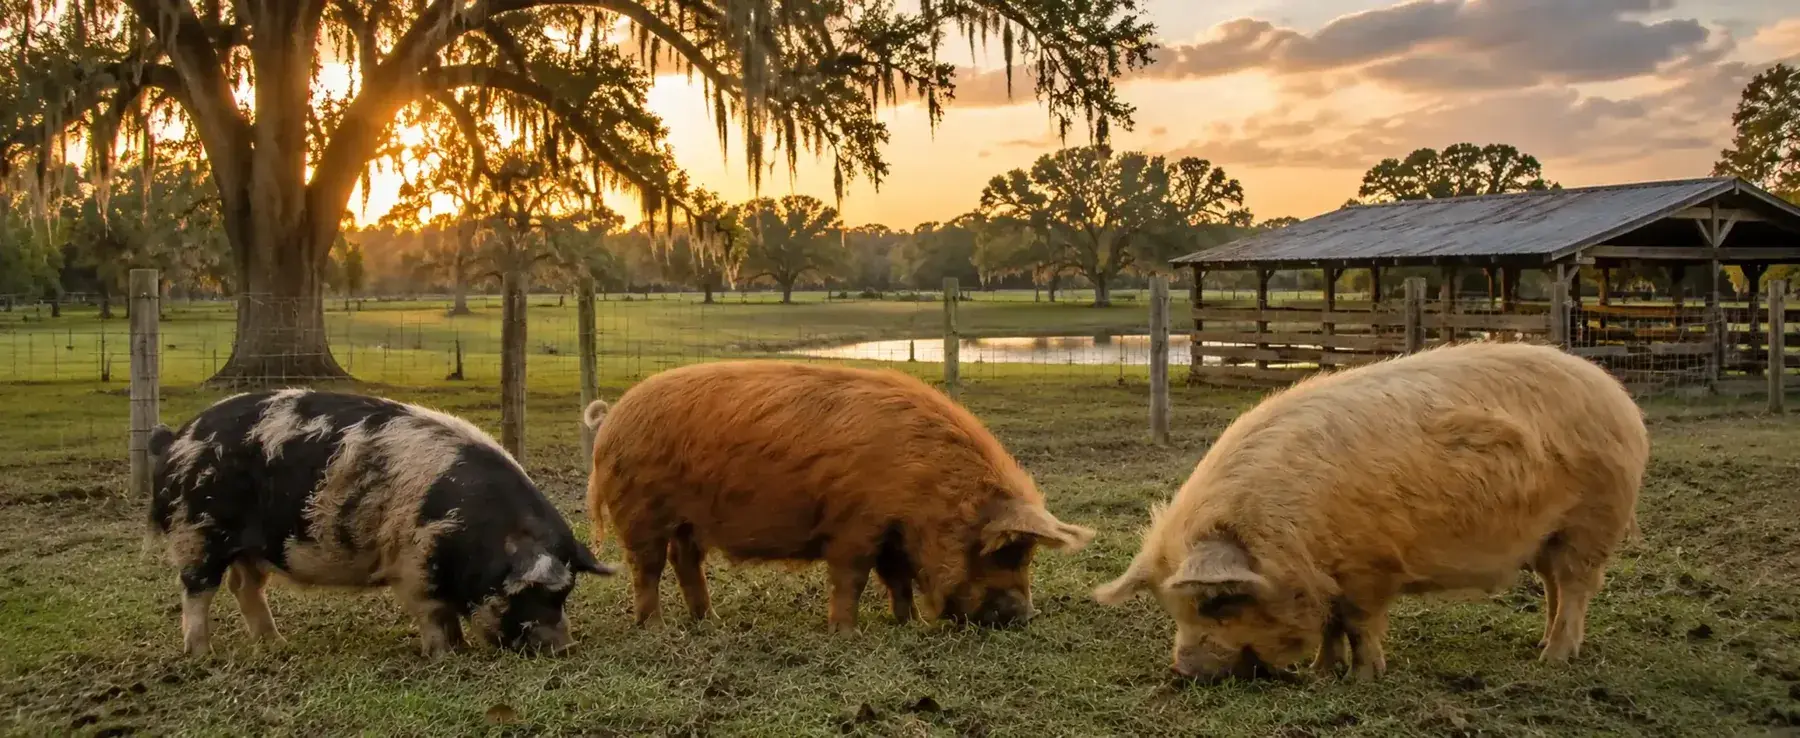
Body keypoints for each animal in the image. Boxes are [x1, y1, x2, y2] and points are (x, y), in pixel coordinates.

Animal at [147, 388, 613, 657]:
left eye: (567, 592)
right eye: (535, 593)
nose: (564, 647)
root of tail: (176, 439)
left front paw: (459, 647)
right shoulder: (412, 563)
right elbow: (434, 613)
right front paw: (446, 656)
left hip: (249, 546)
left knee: (244, 586)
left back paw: (276, 645)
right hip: (197, 532)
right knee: (197, 591)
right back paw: (202, 655)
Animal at [582, 360, 1095, 631]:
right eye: (1007, 552)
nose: (1026, 615)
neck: (928, 491)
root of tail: (610, 419)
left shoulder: (892, 532)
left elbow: (897, 579)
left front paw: (906, 623)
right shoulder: (856, 525)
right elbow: (852, 578)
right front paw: (846, 633)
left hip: (688, 522)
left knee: (685, 561)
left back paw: (710, 621)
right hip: (641, 510)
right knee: (646, 568)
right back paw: (655, 626)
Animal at [1094, 341, 1648, 682]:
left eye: (1216, 602)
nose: (1182, 672)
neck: (1289, 536)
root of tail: (1620, 399)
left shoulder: (1370, 567)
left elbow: (1358, 623)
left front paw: (1362, 678)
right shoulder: (1329, 574)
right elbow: (1331, 626)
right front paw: (1321, 673)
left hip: (1590, 523)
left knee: (1575, 588)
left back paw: (1552, 661)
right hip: (1549, 537)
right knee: (1555, 587)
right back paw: (1541, 648)